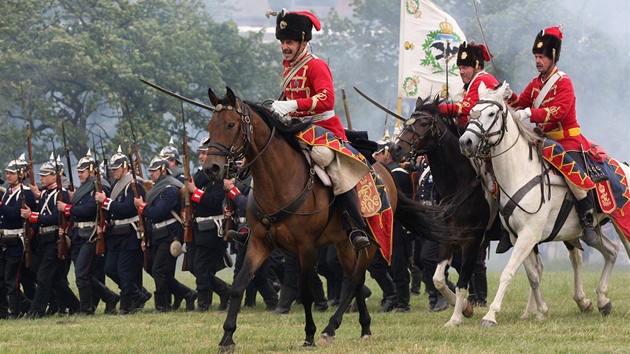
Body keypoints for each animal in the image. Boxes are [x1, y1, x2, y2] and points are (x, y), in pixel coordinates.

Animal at [205, 87, 462, 352]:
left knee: (356, 277)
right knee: (355, 280)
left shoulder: (306, 248)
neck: (279, 181)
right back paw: (364, 327)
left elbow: (306, 292)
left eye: (231, 124)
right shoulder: (258, 243)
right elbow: (238, 285)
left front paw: (309, 335)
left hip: (371, 242)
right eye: (210, 125)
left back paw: (330, 328)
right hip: (343, 243)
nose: (211, 168)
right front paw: (227, 337)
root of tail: (385, 173)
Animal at [460, 81, 630, 328]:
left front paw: (490, 315)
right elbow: (532, 275)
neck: (520, 172)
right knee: (612, 251)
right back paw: (601, 300)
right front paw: (540, 310)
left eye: (491, 113)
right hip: (589, 231)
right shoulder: (518, 237)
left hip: (622, 222)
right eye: (473, 110)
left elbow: (509, 272)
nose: (465, 142)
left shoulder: (529, 235)